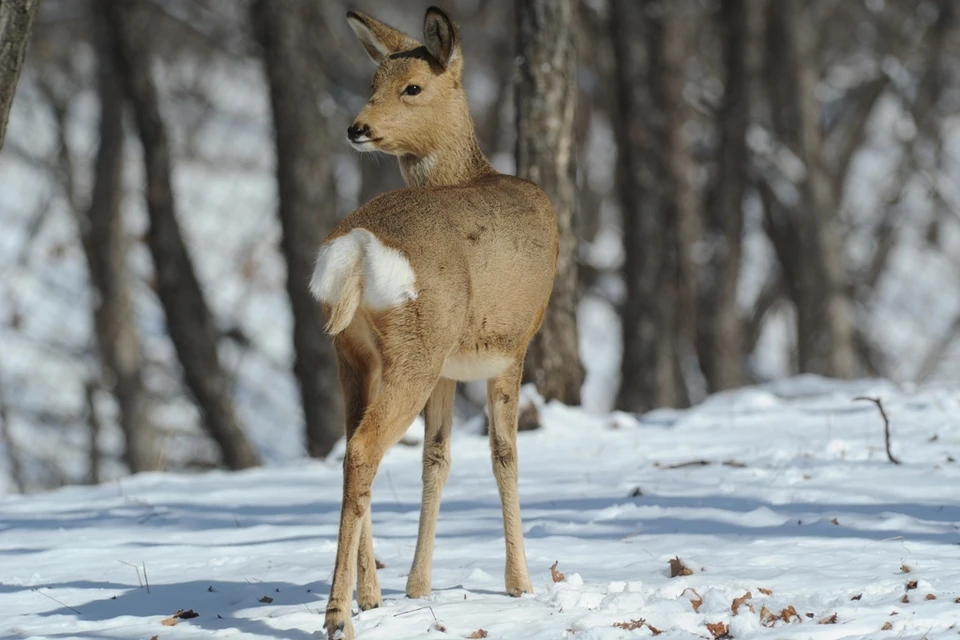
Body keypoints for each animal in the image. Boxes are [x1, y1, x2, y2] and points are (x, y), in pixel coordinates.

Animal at [312, 7, 560, 636]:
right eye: (374, 81)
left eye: (410, 87)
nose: (356, 128)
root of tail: (355, 249)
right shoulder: (511, 346)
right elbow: (504, 455)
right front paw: (520, 584)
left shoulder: (452, 366)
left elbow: (437, 459)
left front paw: (417, 586)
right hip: (415, 346)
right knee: (363, 448)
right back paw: (338, 615)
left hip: (357, 353)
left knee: (353, 445)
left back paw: (369, 595)